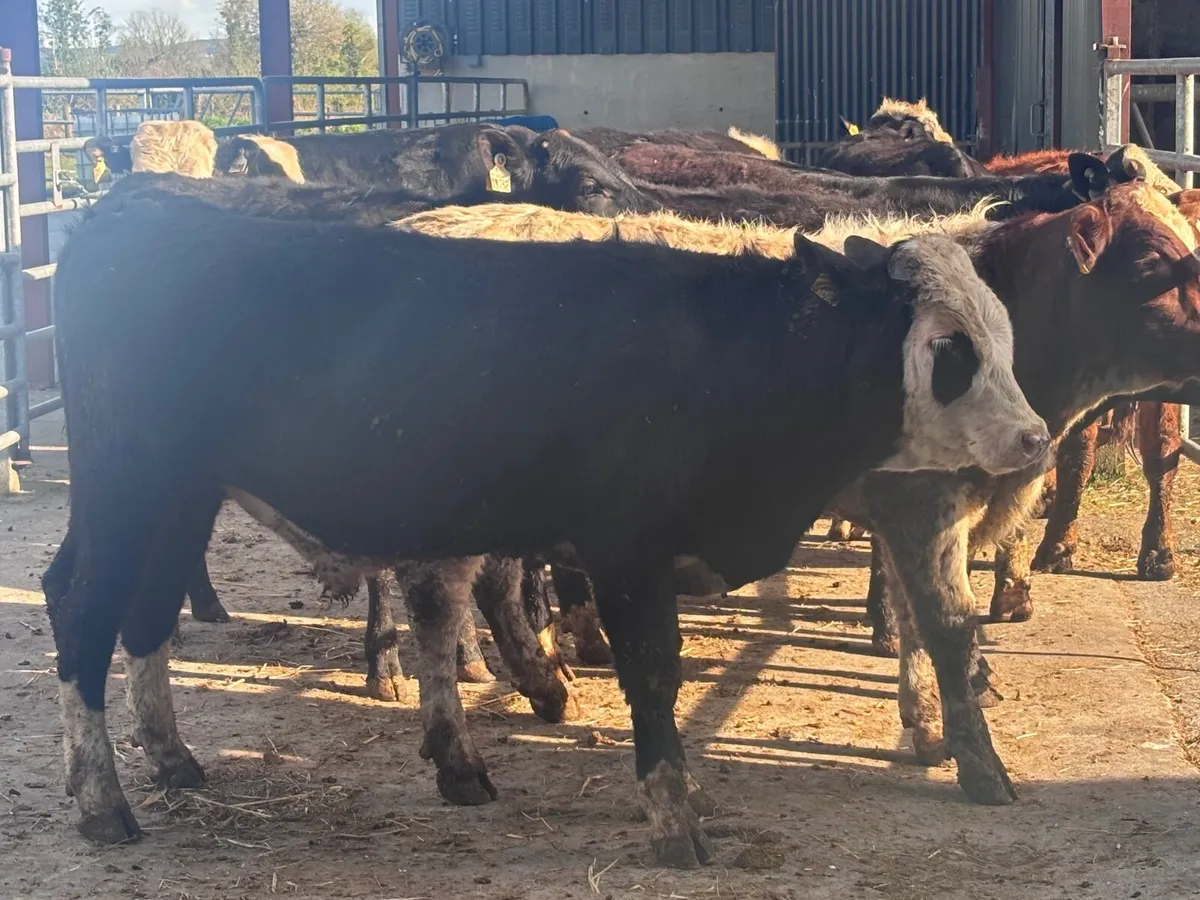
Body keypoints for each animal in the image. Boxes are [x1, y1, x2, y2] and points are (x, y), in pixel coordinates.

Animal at [46, 173, 1045, 866]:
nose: (1036, 438)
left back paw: (172, 758)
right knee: (83, 613)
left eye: (1005, 334)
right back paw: (101, 802)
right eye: (949, 348)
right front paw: (674, 820)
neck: (722, 358)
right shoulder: (627, 552)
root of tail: (132, 217)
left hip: (178, 499)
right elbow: (653, 678)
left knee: (140, 615)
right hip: (129, 486)